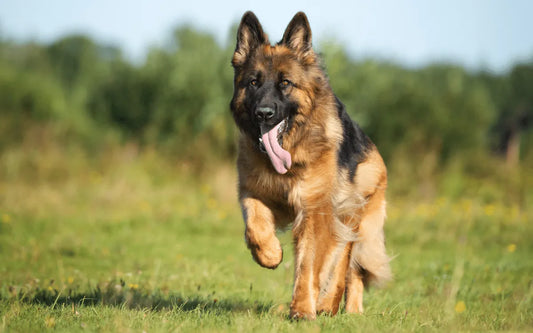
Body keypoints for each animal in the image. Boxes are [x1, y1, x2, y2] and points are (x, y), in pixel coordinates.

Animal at [229, 11, 390, 320]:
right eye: (253, 83)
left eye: (285, 83)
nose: (263, 113)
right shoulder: (253, 192)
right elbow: (255, 228)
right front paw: (270, 254)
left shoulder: (314, 210)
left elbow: (310, 264)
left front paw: (303, 309)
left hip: (351, 216)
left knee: (346, 265)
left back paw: (333, 305)